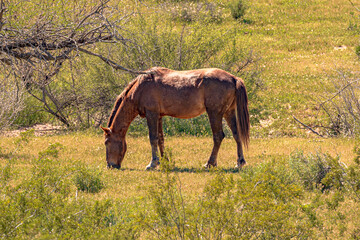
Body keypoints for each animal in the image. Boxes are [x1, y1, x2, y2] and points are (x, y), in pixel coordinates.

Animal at [100, 66, 249, 170]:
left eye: (106, 142)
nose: (110, 165)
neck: (140, 88)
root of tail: (233, 78)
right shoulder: (159, 116)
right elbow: (160, 139)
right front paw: (164, 161)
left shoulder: (151, 114)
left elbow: (153, 138)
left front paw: (152, 163)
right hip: (228, 112)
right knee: (236, 135)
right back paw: (239, 162)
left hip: (215, 113)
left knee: (218, 136)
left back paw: (210, 163)